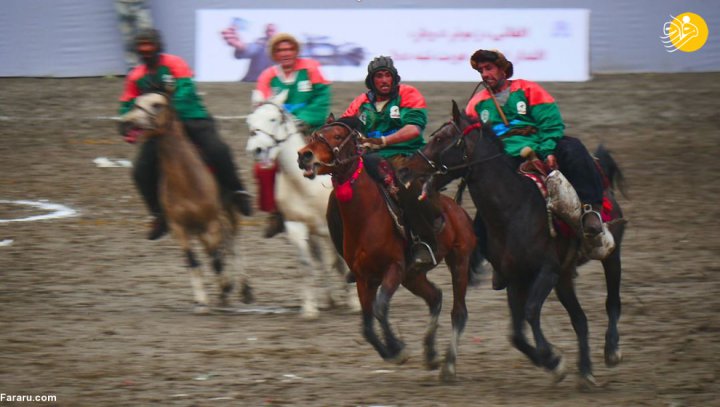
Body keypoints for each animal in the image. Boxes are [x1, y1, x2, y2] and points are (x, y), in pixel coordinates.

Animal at [121, 92, 245, 314]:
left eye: (157, 105)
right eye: (135, 103)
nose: (126, 124)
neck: (186, 181)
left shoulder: (211, 223)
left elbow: (216, 260)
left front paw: (225, 289)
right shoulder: (178, 228)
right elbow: (193, 261)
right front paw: (202, 301)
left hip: (227, 213)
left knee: (233, 244)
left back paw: (246, 290)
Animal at [248, 91, 360, 320]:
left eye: (273, 119)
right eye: (250, 121)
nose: (257, 149)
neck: (307, 186)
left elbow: (343, 261)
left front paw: (355, 303)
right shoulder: (296, 227)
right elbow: (307, 265)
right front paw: (309, 308)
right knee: (322, 261)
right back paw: (328, 299)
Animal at [296, 115, 476, 382]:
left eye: (337, 136)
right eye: (316, 134)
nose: (304, 155)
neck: (367, 216)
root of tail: (456, 208)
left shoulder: (394, 268)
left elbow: (380, 309)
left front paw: (397, 348)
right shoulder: (364, 278)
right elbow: (367, 325)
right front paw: (391, 351)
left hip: (459, 260)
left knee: (459, 311)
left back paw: (448, 366)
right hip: (413, 276)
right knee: (435, 297)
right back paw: (431, 354)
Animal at [396, 101, 628, 386]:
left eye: (440, 138)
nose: (404, 170)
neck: (514, 209)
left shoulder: (546, 271)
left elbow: (530, 312)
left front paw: (552, 359)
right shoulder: (515, 277)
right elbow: (516, 333)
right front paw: (553, 362)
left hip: (610, 255)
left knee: (612, 301)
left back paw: (612, 350)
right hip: (564, 277)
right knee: (580, 320)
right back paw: (585, 371)